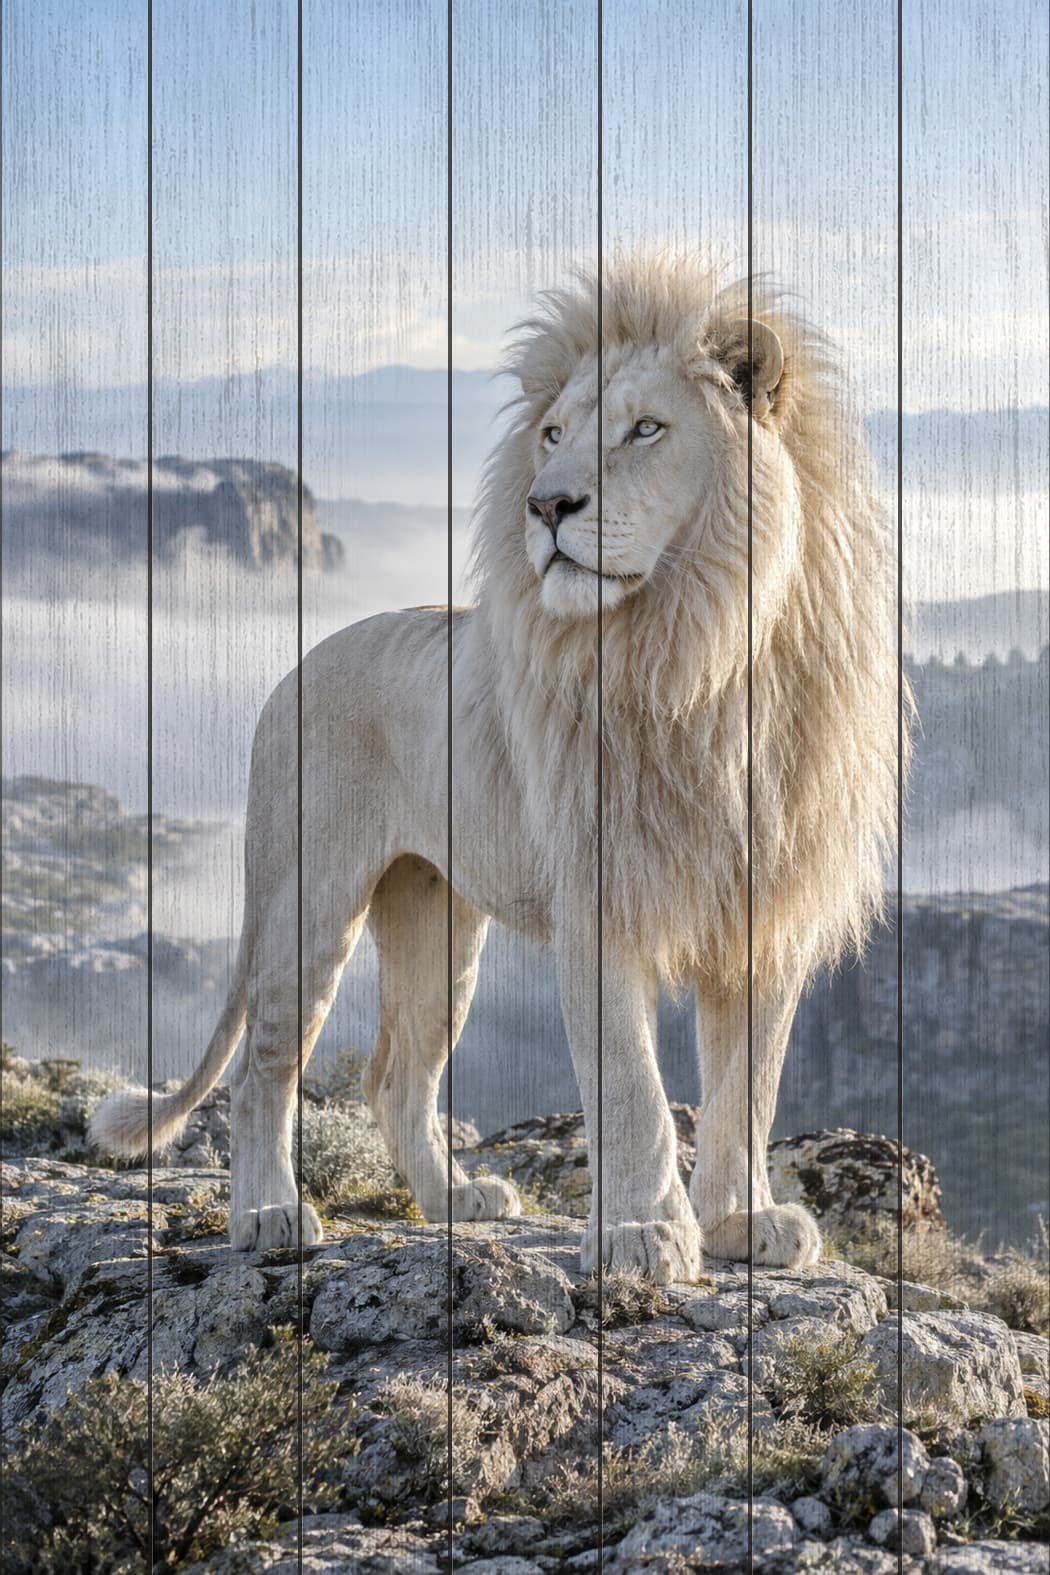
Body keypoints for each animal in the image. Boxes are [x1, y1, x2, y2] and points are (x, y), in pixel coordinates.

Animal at [91, 255, 904, 1284]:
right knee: (263, 1064)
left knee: (394, 1077)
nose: (547, 505)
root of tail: (290, 671)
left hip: (437, 919)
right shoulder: (601, 894)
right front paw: (641, 1233)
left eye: (646, 428)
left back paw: (455, 1201)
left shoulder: (763, 909)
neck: (699, 655)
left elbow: (748, 1088)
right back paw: (269, 1213)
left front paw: (740, 1222)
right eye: (553, 435)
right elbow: (630, 1085)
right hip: (306, 897)